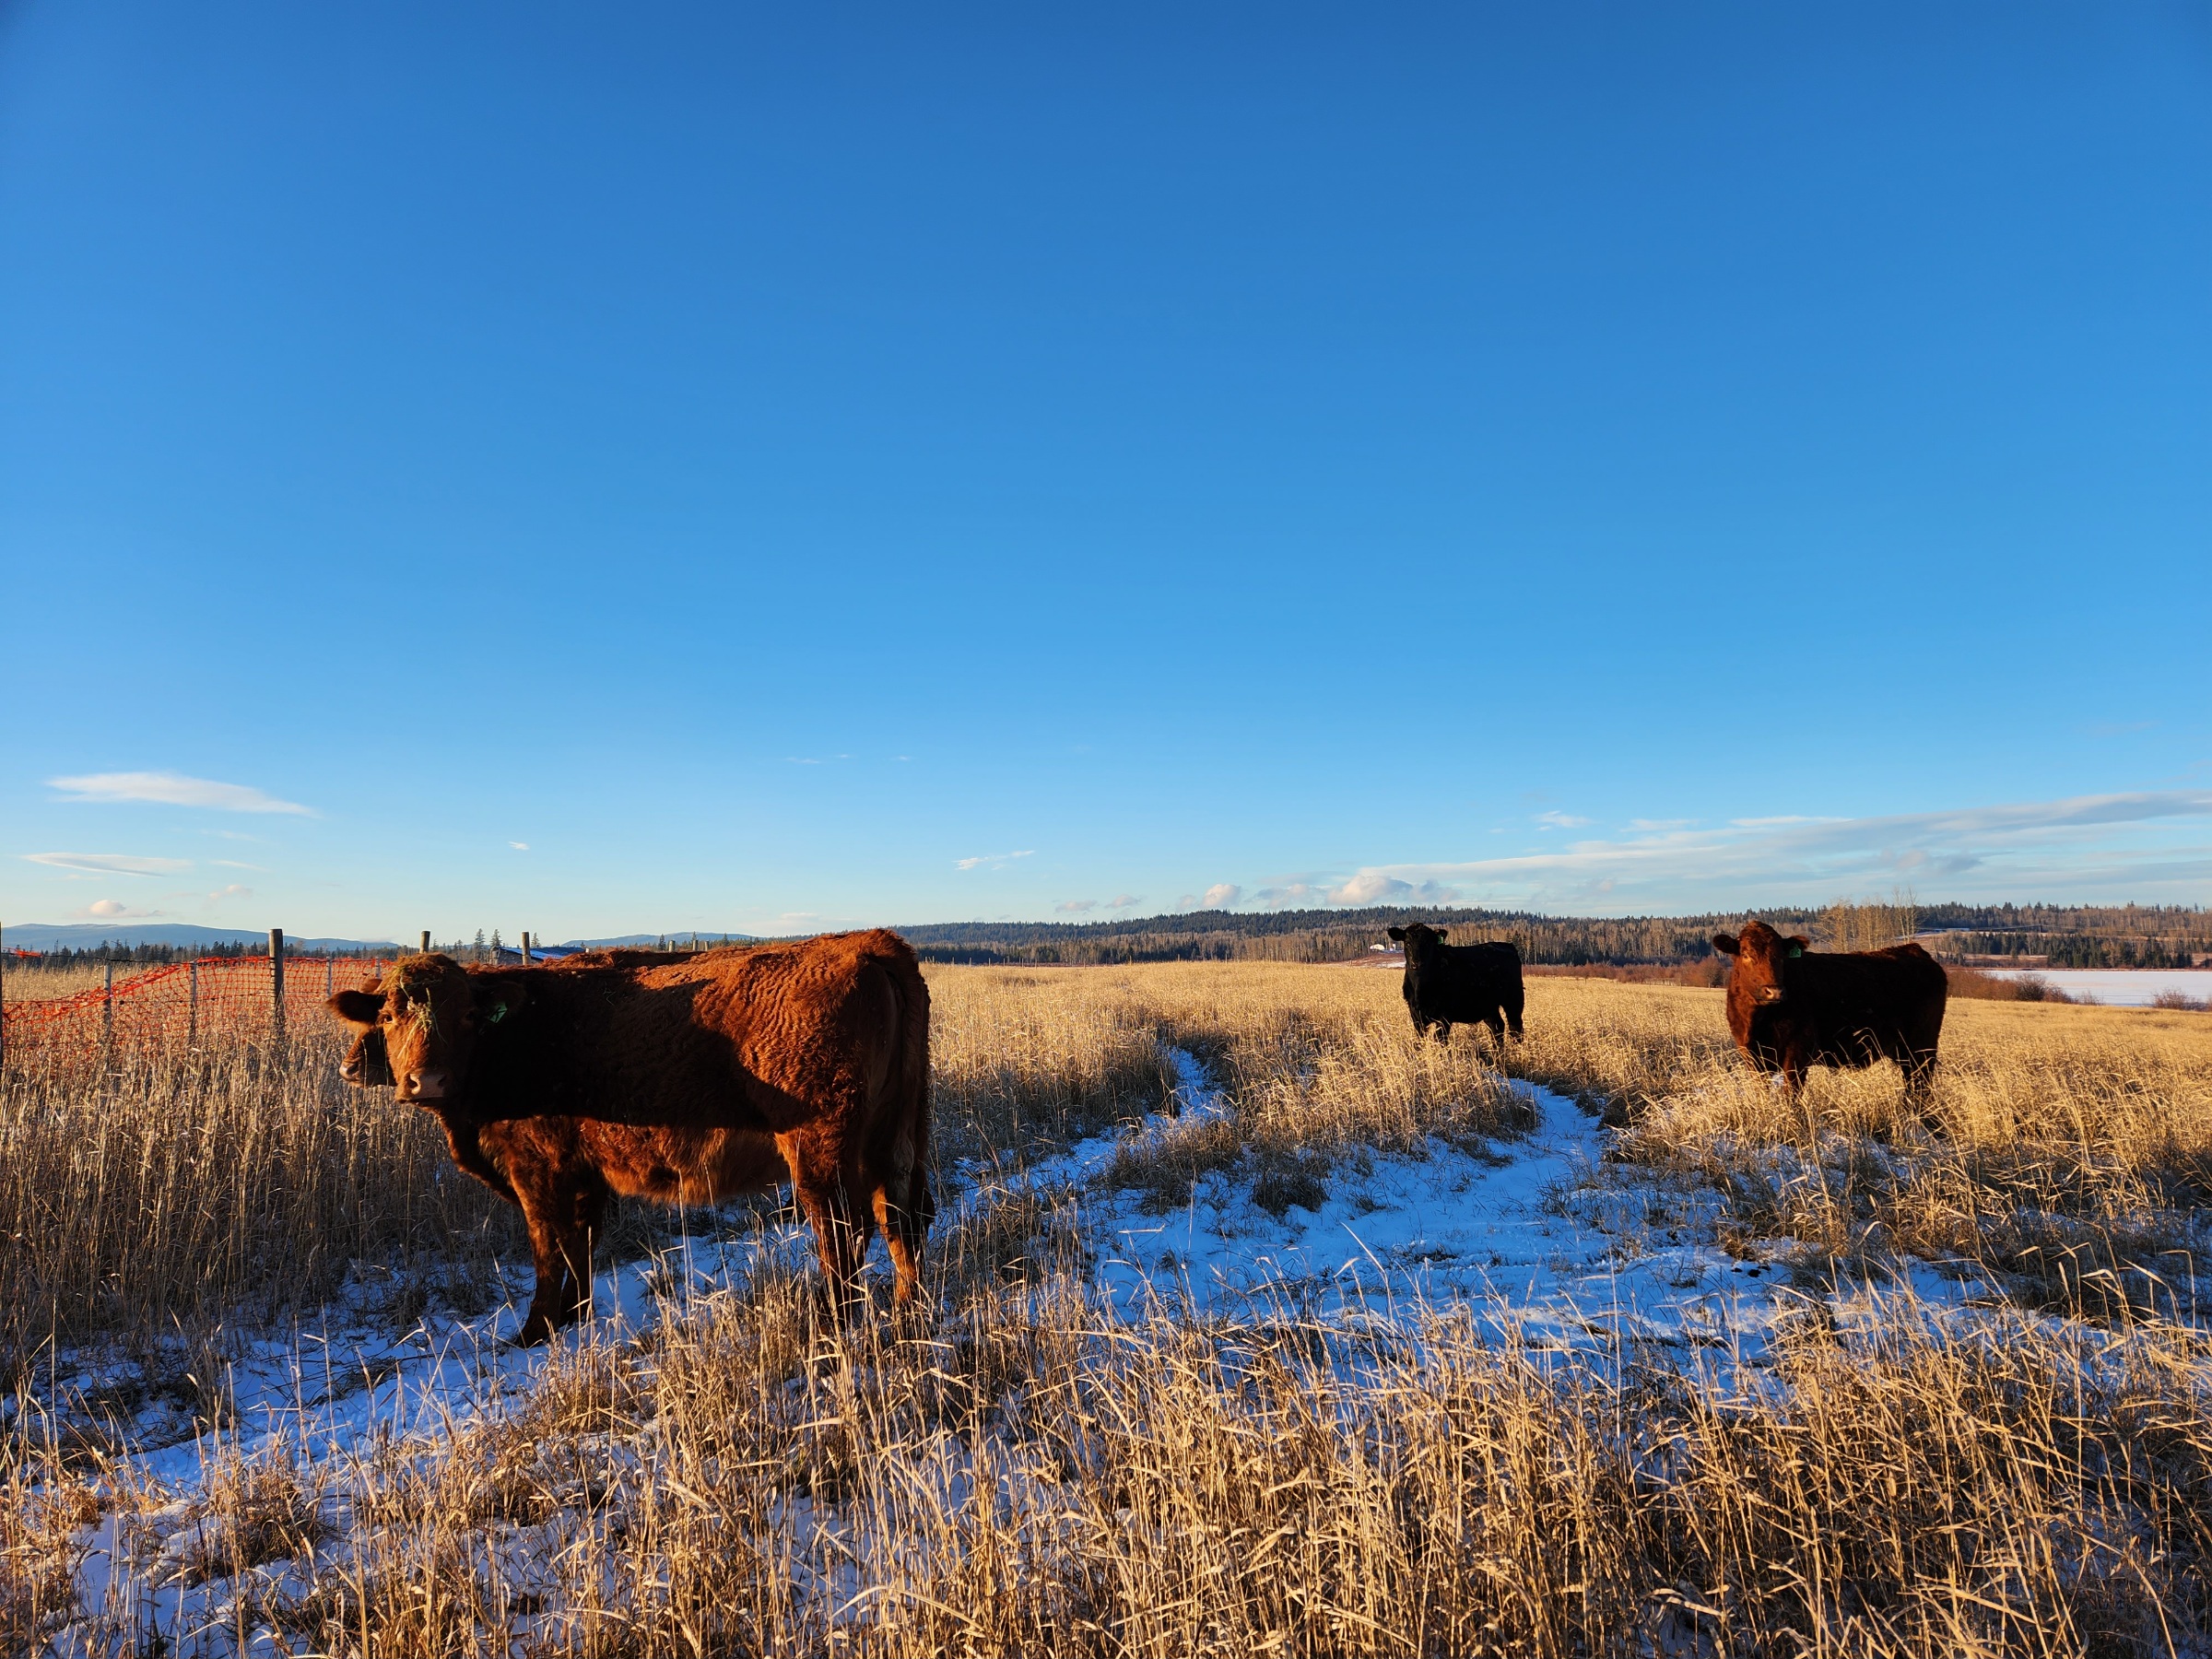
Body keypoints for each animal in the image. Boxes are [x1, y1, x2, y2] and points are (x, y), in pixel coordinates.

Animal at [323, 929, 929, 1345]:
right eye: (388, 1015)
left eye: (469, 1016)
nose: (425, 1081)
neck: (517, 1029)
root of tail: (868, 945)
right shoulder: (584, 1176)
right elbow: (579, 1246)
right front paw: (575, 1315)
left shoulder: (536, 1171)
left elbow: (548, 1246)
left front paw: (534, 1331)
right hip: (894, 1140)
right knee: (899, 1216)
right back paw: (908, 1315)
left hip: (819, 1156)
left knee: (846, 1229)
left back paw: (826, 1326)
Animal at [1380, 924, 1522, 1053]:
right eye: (1408, 943)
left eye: (1428, 943)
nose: (1417, 963)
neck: (1420, 989)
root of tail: (1507, 946)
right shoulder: (1415, 1013)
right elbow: (1420, 1038)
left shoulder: (1445, 1014)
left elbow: (1440, 1039)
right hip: (1489, 1006)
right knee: (1497, 1026)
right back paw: (1498, 1053)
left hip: (1514, 999)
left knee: (1515, 1027)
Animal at [1699, 924, 1947, 1119]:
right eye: (1747, 955)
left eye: (1781, 957)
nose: (1774, 991)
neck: (1759, 1019)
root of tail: (1913, 949)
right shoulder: (1750, 1052)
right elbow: (1761, 1089)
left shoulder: (1798, 1050)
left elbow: (1791, 1093)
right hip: (1904, 1051)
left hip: (1922, 1047)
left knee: (1921, 1085)